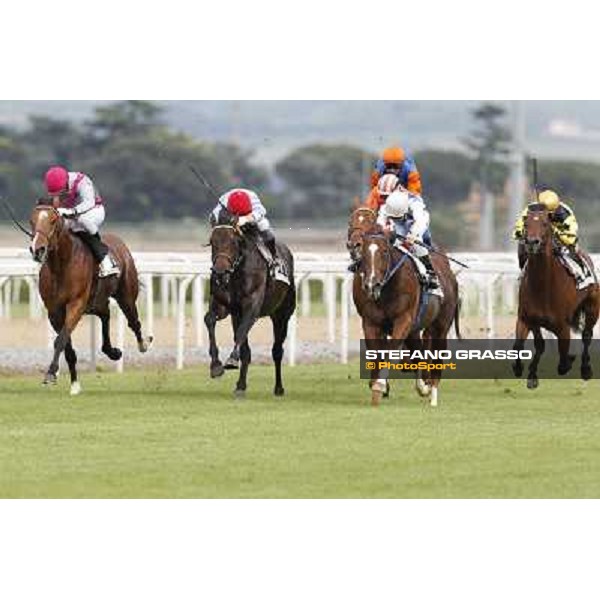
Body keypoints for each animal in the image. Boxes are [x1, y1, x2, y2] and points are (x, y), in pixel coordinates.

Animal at [29, 204, 154, 396]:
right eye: (31, 220)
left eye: (53, 221)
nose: (37, 249)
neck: (62, 264)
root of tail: (120, 243)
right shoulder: (54, 312)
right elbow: (66, 345)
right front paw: (74, 383)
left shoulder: (76, 304)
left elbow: (61, 340)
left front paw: (51, 373)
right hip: (97, 301)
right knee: (106, 313)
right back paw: (112, 351)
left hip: (126, 296)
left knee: (133, 321)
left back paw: (143, 344)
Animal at [205, 213, 296, 396]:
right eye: (212, 242)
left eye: (234, 241)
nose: (220, 272)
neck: (238, 271)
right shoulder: (225, 305)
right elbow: (209, 319)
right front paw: (216, 365)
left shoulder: (252, 307)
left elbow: (240, 334)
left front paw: (231, 360)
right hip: (237, 315)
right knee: (247, 350)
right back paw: (241, 385)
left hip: (282, 315)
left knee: (277, 350)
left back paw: (279, 387)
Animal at [354, 223, 462, 406]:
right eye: (363, 252)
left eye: (384, 251)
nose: (371, 284)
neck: (386, 289)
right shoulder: (370, 322)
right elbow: (375, 352)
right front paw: (376, 386)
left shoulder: (403, 319)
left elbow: (391, 349)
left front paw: (380, 384)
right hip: (415, 329)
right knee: (419, 353)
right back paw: (423, 386)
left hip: (440, 326)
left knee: (436, 357)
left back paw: (433, 395)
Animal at [510, 203, 600, 390]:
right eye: (526, 224)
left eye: (545, 224)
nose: (532, 242)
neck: (543, 286)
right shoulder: (527, 318)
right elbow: (526, 345)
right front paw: (526, 371)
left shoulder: (562, 326)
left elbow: (563, 360)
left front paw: (570, 361)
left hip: (593, 307)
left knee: (587, 335)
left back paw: (586, 369)